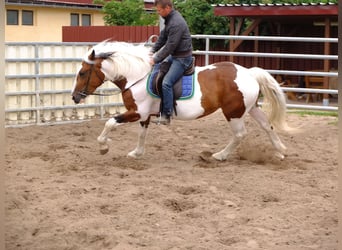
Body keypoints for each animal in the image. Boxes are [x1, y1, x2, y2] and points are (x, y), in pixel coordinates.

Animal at [72, 40, 288, 160]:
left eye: (82, 73)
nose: (74, 97)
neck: (137, 76)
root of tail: (249, 73)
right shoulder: (144, 115)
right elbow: (142, 134)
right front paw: (137, 153)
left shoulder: (136, 112)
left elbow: (110, 123)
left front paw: (103, 147)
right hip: (250, 108)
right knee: (267, 126)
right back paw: (280, 151)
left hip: (233, 113)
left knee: (240, 135)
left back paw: (220, 156)